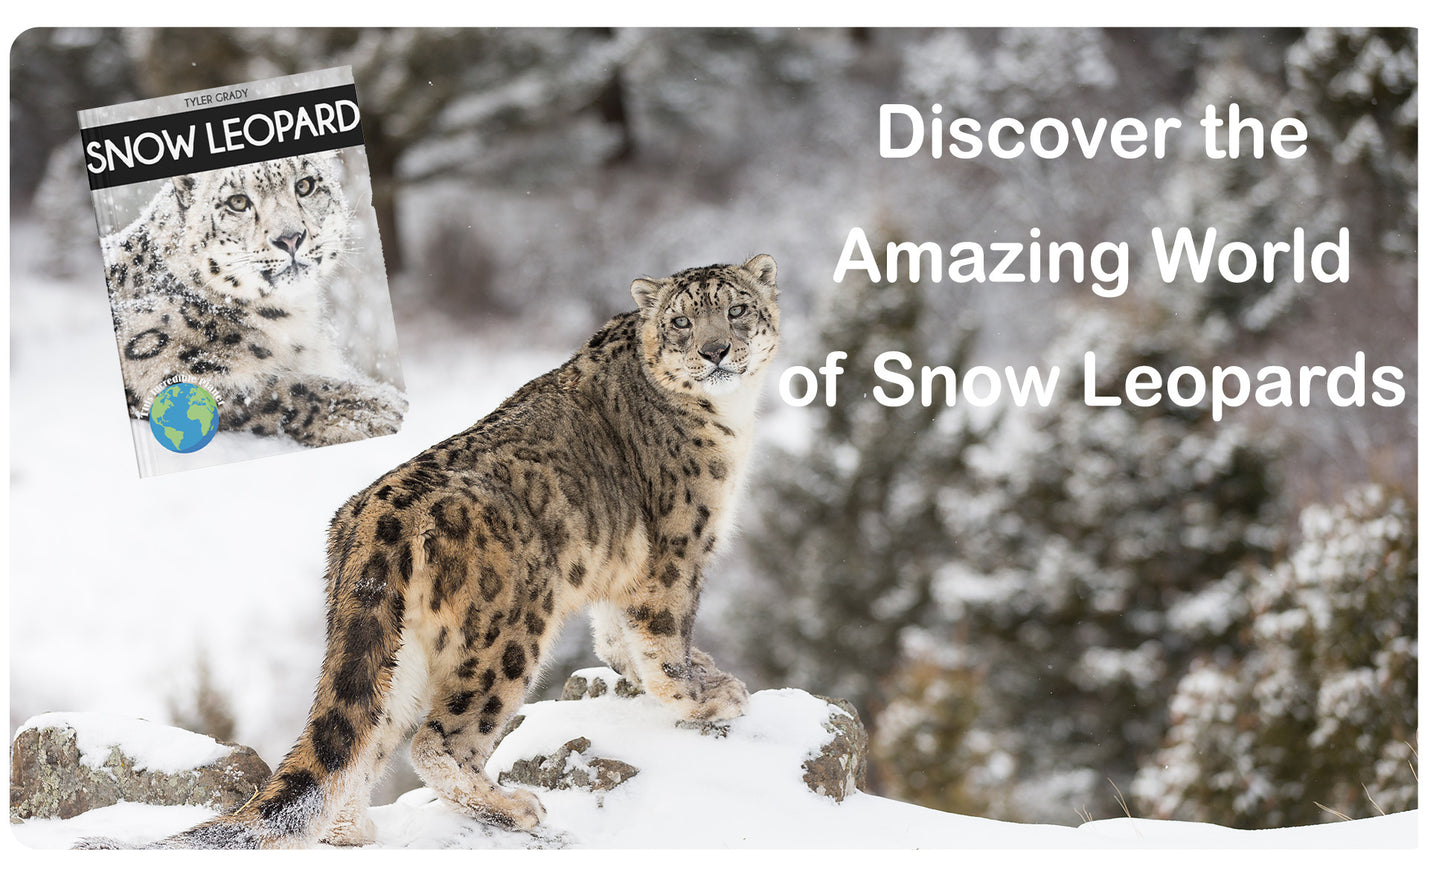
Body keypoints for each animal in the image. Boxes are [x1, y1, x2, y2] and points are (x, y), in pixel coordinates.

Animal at [85, 253, 780, 849]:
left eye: (737, 309)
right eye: (682, 321)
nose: (716, 349)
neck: (731, 418)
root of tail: (372, 519)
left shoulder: (624, 571)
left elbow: (617, 638)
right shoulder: (675, 553)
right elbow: (663, 641)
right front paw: (706, 697)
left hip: (398, 653)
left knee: (367, 737)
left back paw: (353, 830)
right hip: (509, 632)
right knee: (439, 740)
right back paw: (512, 807)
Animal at [101, 151, 405, 448]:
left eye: (305, 185)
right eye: (238, 202)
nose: (290, 238)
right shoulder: (156, 364)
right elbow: (264, 390)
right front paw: (374, 409)